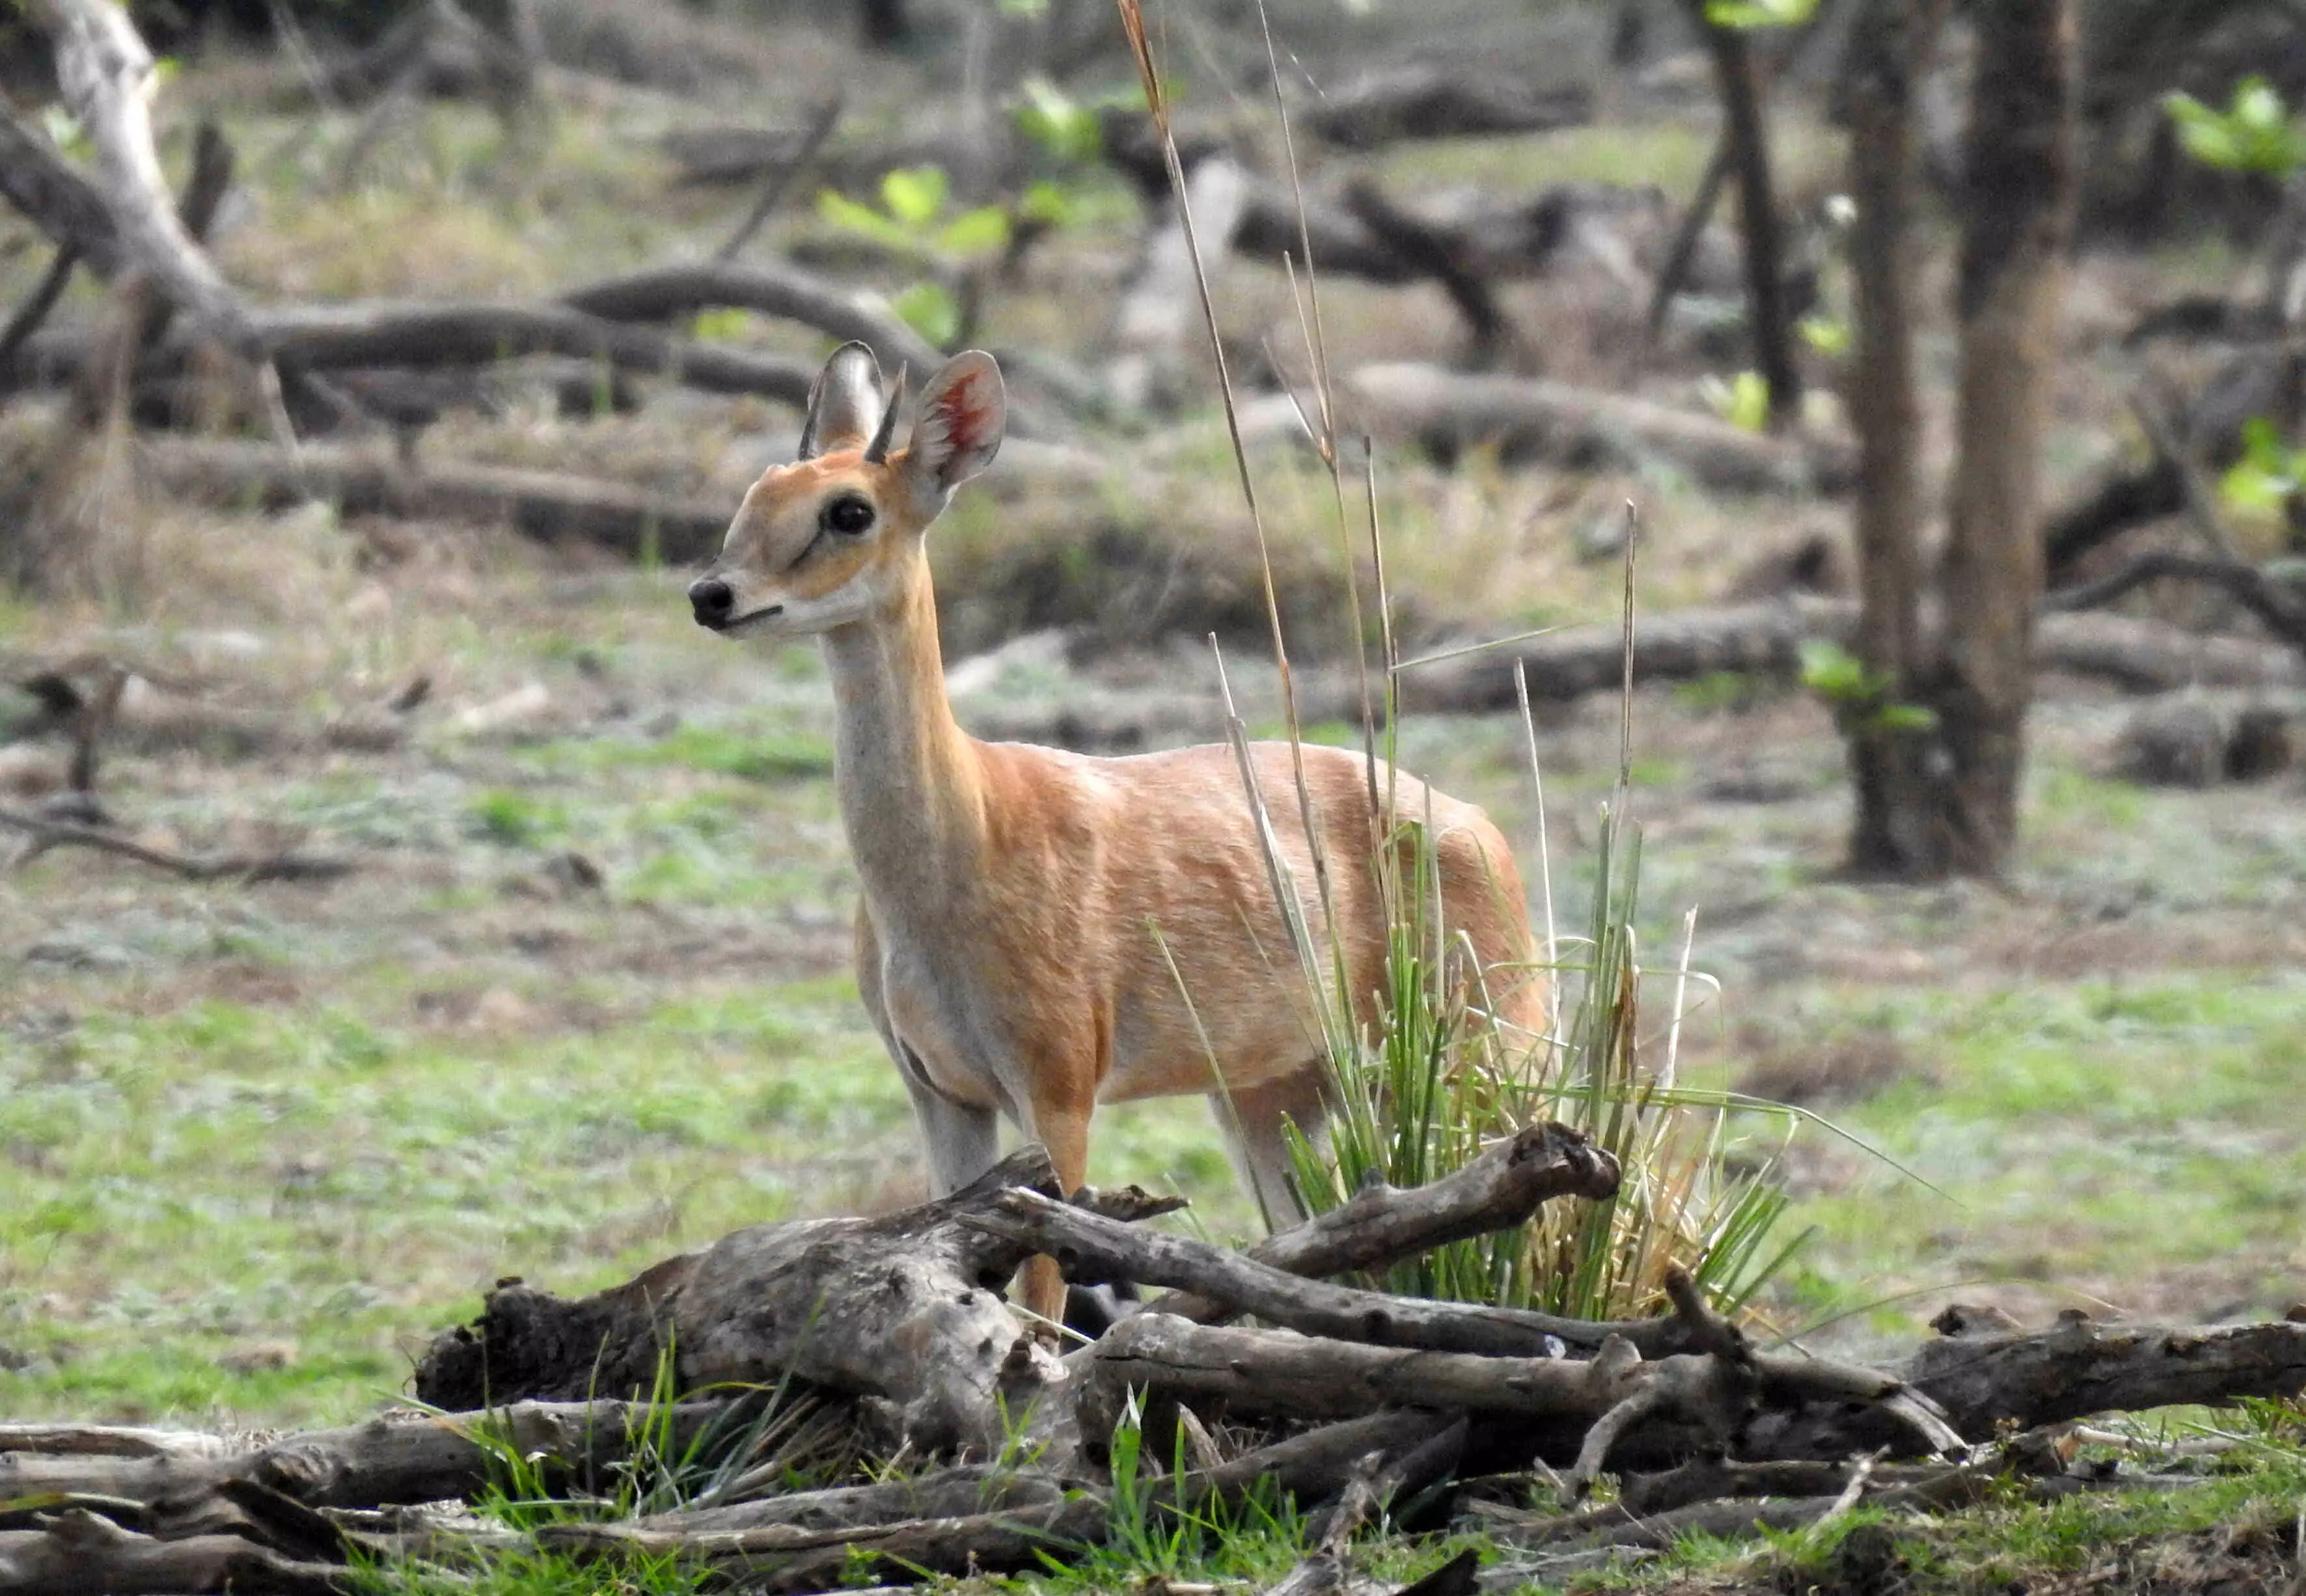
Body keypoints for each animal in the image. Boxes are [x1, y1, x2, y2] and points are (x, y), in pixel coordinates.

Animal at [687, 338, 1549, 1319]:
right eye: (762, 486)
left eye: (849, 509)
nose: (712, 594)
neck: (964, 845)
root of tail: (1485, 830)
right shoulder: (933, 1085)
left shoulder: (1062, 1077)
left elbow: (1042, 1293)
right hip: (1272, 1091)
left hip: (1485, 1040)